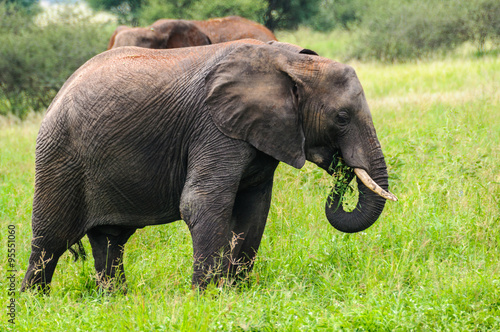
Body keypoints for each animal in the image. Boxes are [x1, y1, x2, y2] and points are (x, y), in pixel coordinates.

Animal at [21, 39, 396, 292]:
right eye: (342, 117)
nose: (343, 170)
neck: (291, 61)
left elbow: (254, 210)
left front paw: (236, 291)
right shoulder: (213, 127)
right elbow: (201, 203)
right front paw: (205, 296)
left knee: (110, 241)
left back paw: (115, 300)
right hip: (59, 155)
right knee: (49, 241)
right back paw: (34, 303)